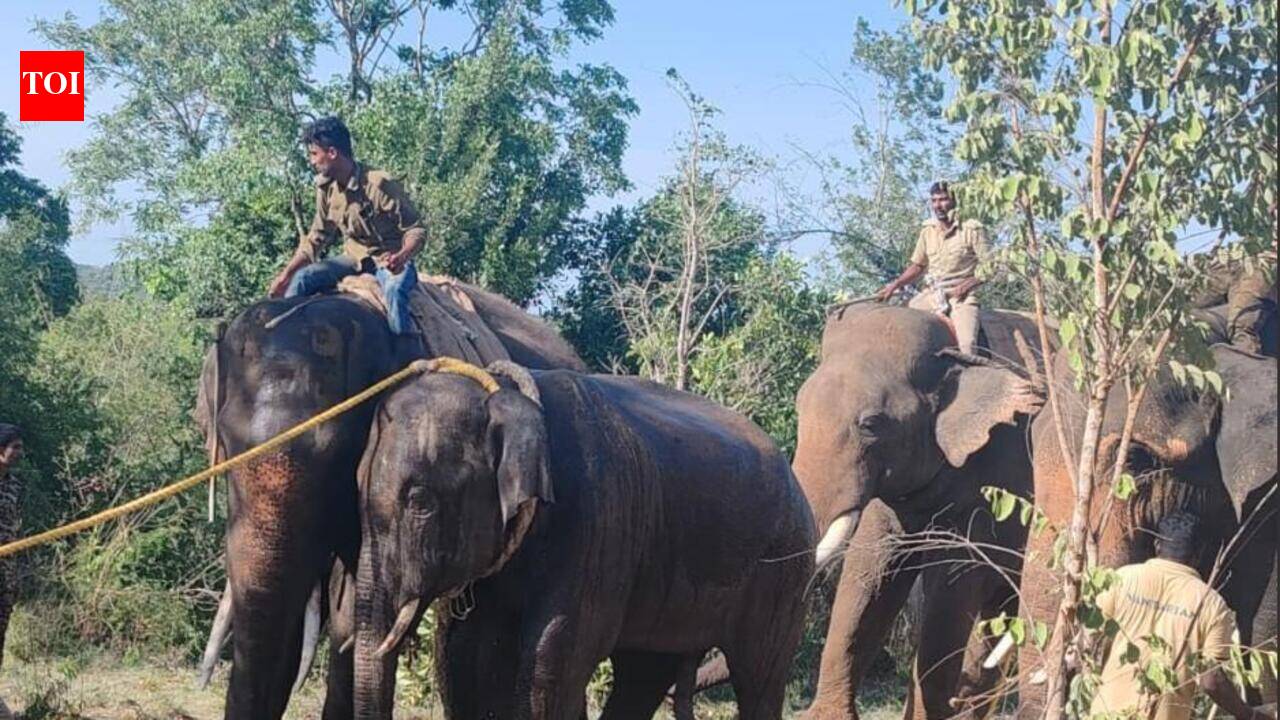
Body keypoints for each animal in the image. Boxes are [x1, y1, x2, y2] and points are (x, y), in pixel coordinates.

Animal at [353, 362, 816, 720]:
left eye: (420, 502)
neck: (504, 392)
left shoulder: (597, 523)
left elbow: (554, 656)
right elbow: (462, 658)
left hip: (786, 570)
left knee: (759, 675)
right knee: (644, 672)